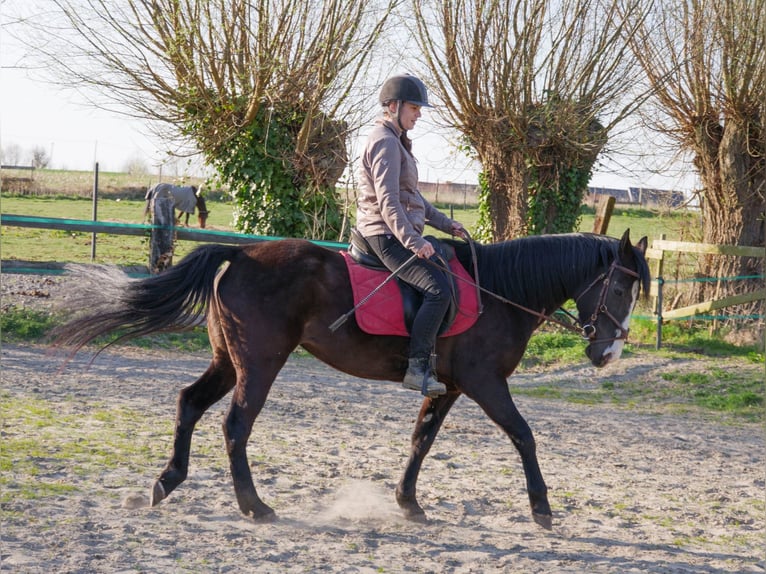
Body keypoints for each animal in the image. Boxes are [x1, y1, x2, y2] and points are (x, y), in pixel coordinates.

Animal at [52, 230, 650, 530]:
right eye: (622, 288)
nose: (609, 352)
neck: (502, 292)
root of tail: (240, 253)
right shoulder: (485, 384)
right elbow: (524, 435)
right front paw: (542, 508)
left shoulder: (450, 387)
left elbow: (421, 441)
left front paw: (408, 504)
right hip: (260, 364)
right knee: (235, 426)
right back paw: (254, 507)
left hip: (228, 362)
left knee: (189, 404)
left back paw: (166, 483)